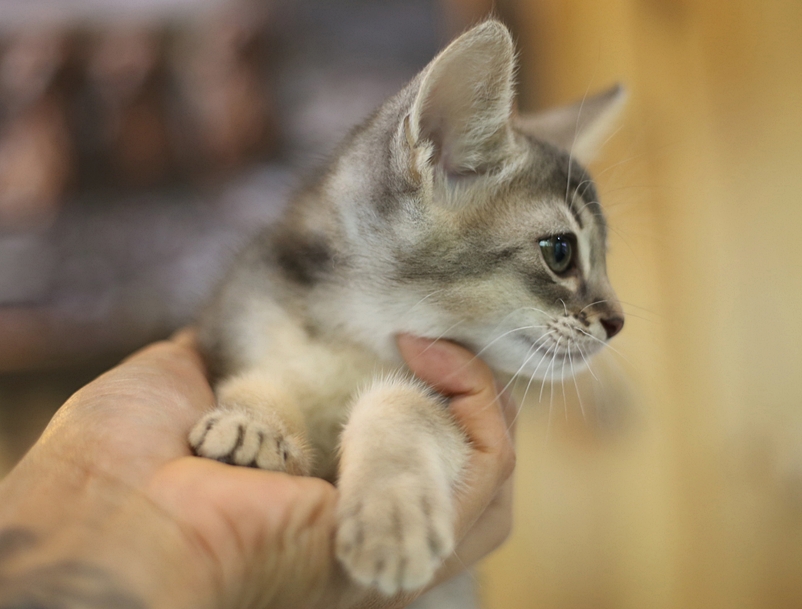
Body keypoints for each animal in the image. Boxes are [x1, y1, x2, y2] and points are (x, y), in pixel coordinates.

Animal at [189, 19, 625, 597]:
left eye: (603, 258)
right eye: (560, 252)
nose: (618, 321)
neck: (353, 338)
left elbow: (401, 404)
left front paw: (390, 516)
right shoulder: (239, 327)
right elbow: (256, 379)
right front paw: (252, 425)